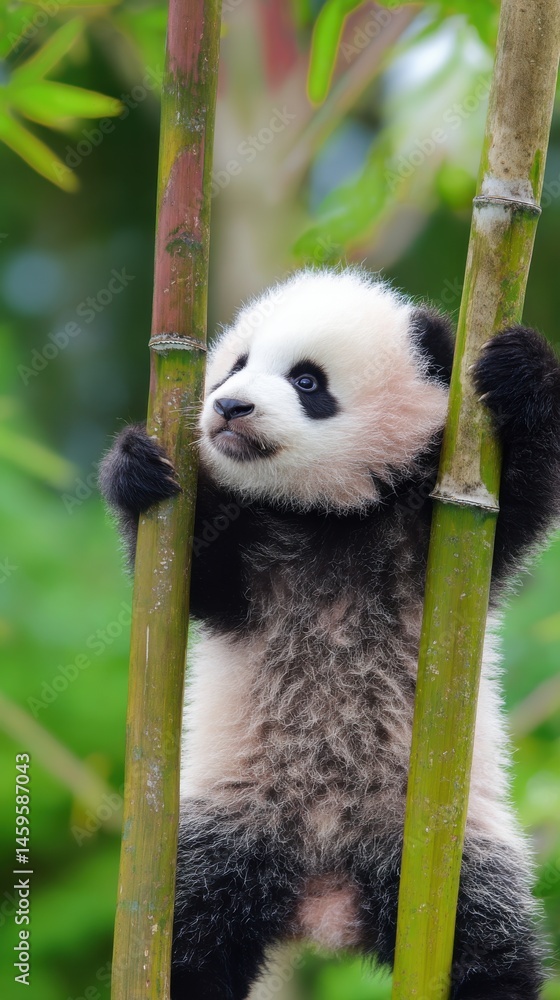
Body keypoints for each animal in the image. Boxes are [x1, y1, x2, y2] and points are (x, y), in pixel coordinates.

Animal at [100, 267, 560, 1000]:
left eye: (308, 381)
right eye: (236, 364)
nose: (229, 407)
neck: (331, 512)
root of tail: (326, 903)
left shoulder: (444, 533)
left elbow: (519, 500)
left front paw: (521, 370)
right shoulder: (253, 558)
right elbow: (195, 572)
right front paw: (135, 469)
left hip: (448, 848)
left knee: (489, 949)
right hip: (228, 827)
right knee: (192, 935)